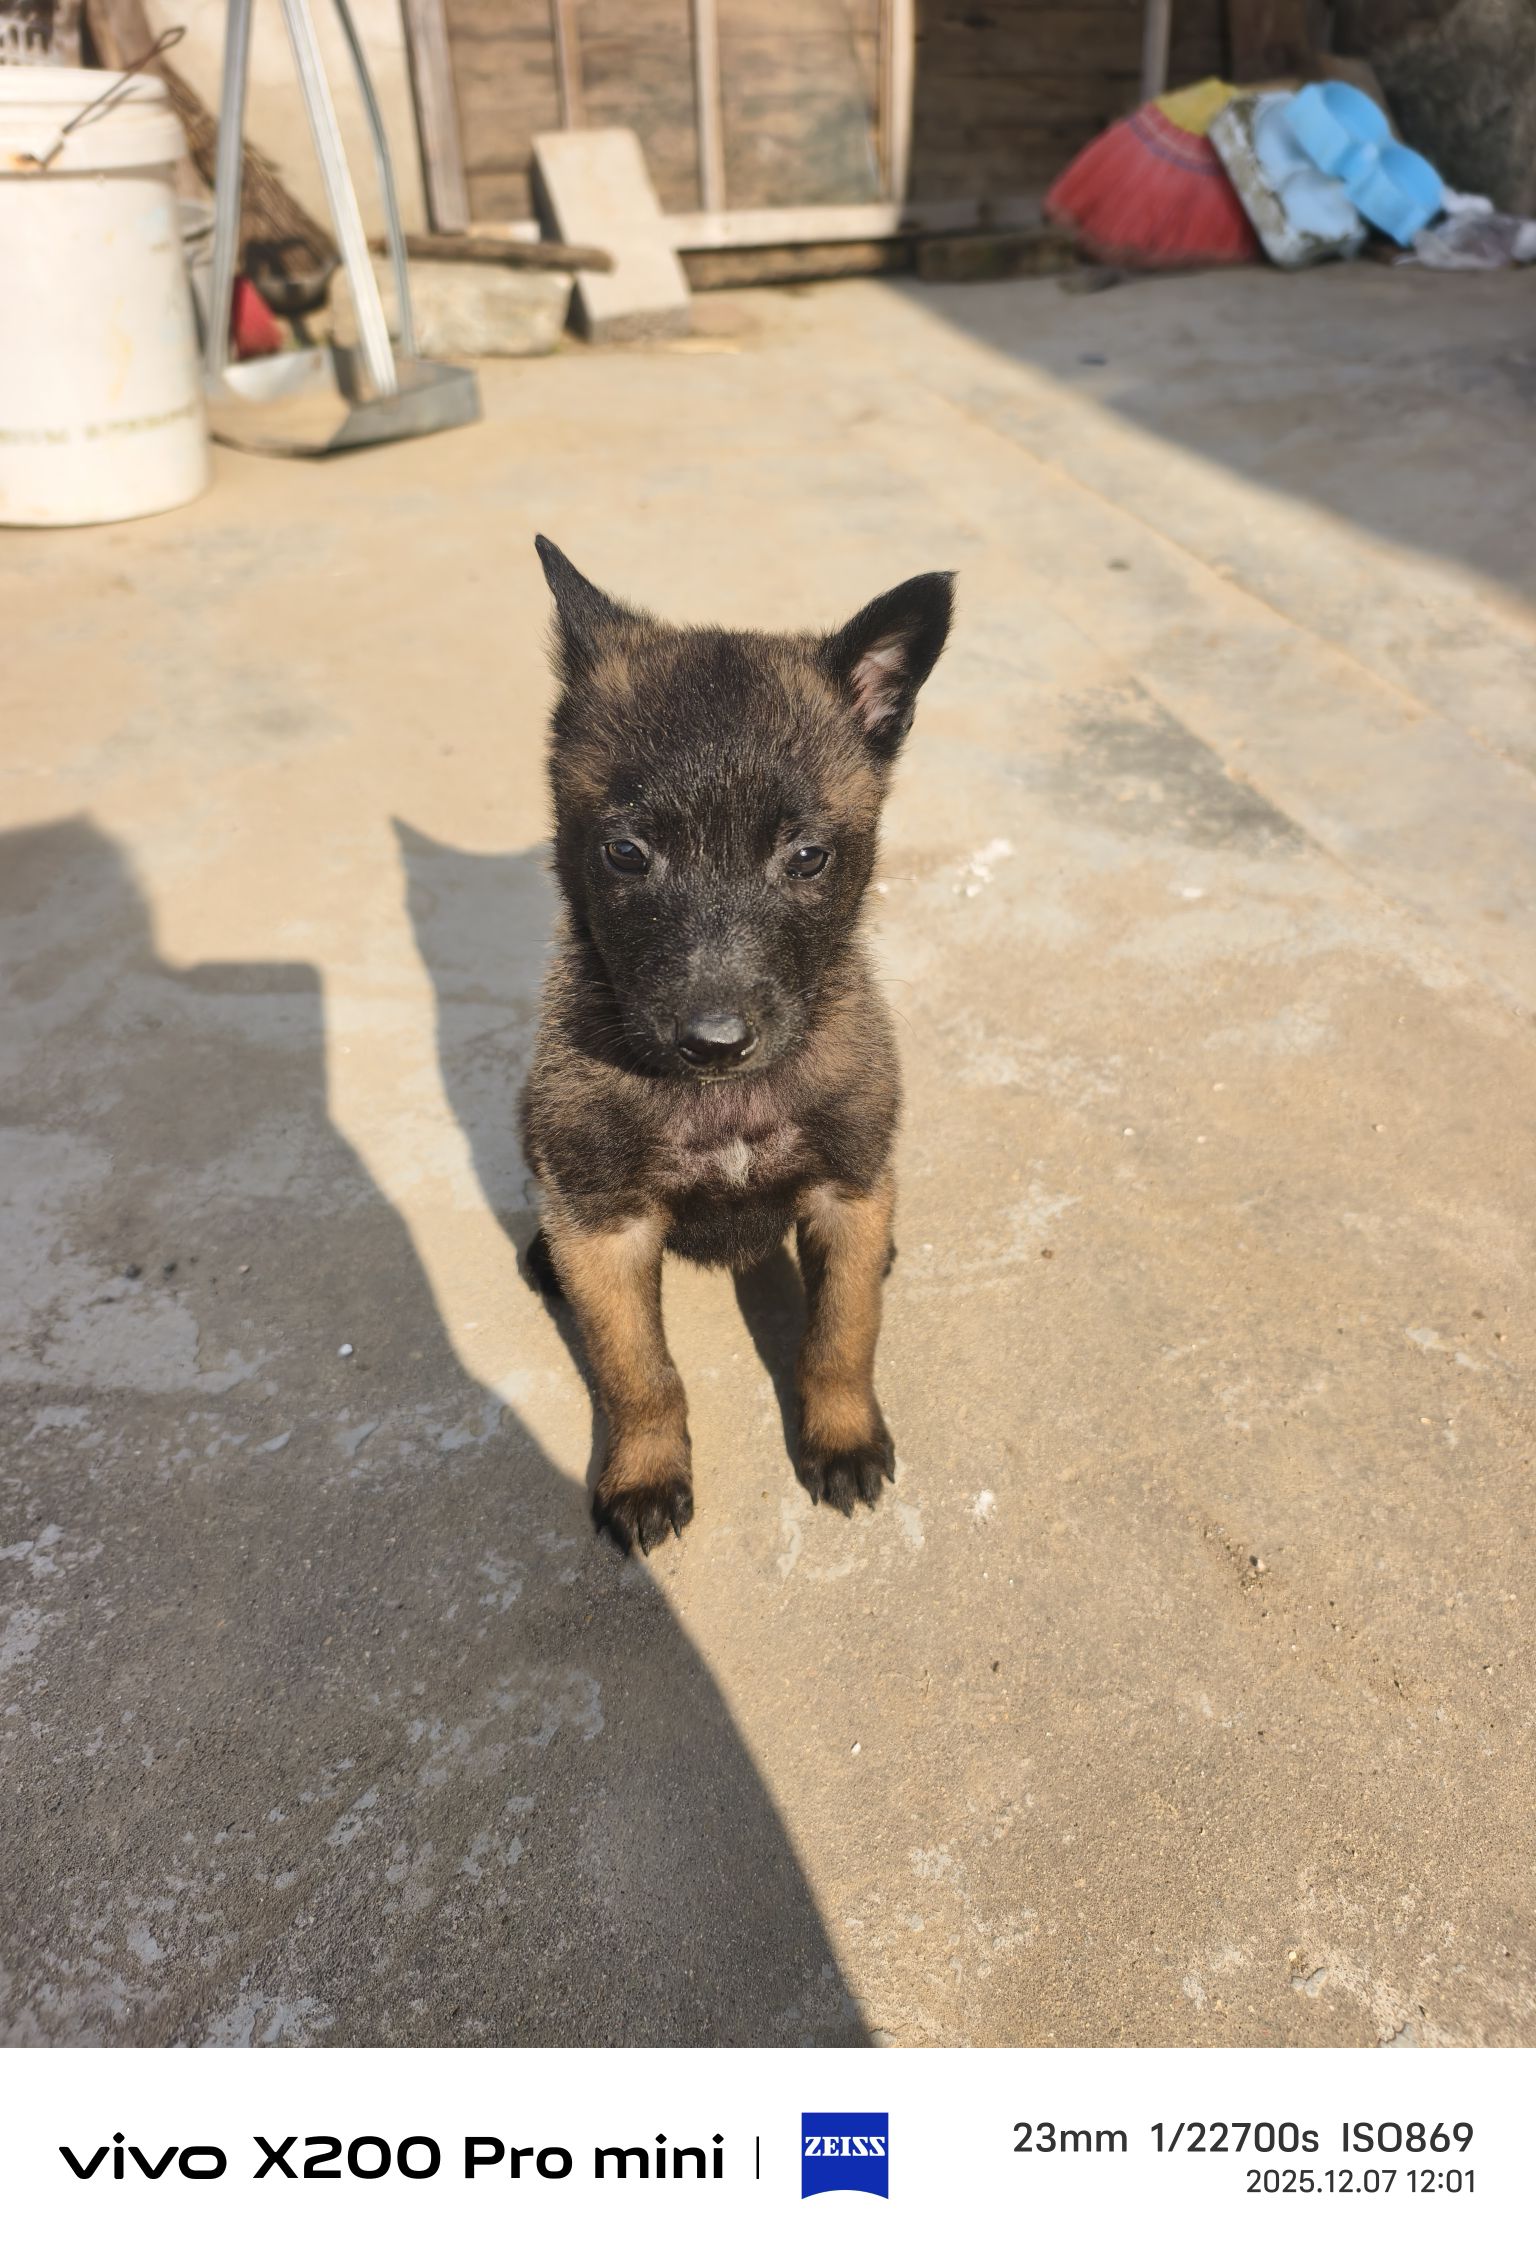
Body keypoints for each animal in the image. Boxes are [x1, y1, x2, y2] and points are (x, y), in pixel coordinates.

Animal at [521, 537, 953, 1553]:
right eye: (626, 853)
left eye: (806, 857)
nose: (713, 1042)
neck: (722, 1104)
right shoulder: (603, 1228)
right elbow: (638, 1372)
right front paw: (645, 1472)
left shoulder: (845, 1189)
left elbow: (840, 1337)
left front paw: (842, 1438)